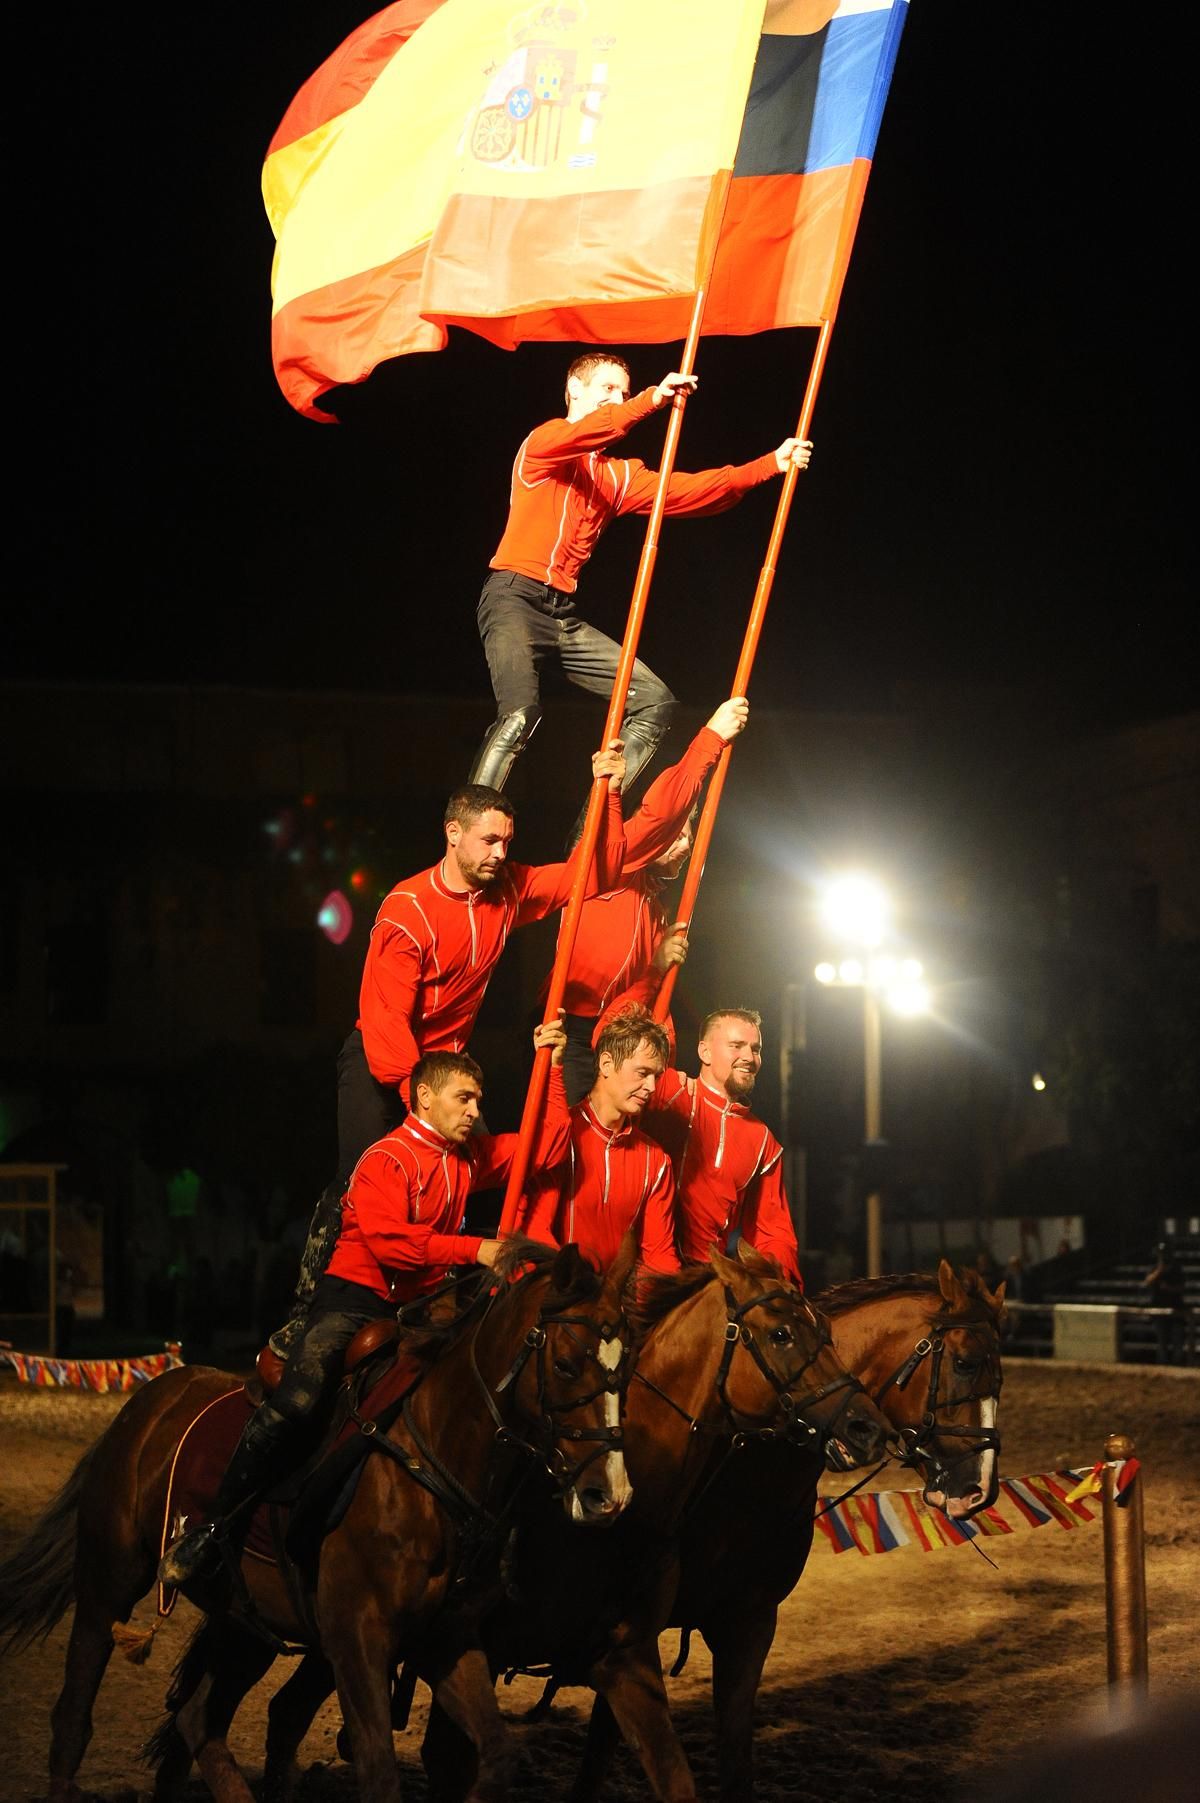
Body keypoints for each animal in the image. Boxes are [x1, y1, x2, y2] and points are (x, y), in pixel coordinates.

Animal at [0, 1240, 634, 1803]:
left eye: (623, 1373)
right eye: (565, 1363)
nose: (609, 1495)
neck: (427, 1461)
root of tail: (149, 1402)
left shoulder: (446, 1640)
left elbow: (499, 1756)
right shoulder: (357, 1641)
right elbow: (378, 1770)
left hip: (244, 1620)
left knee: (196, 1719)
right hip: (107, 1582)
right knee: (76, 1708)